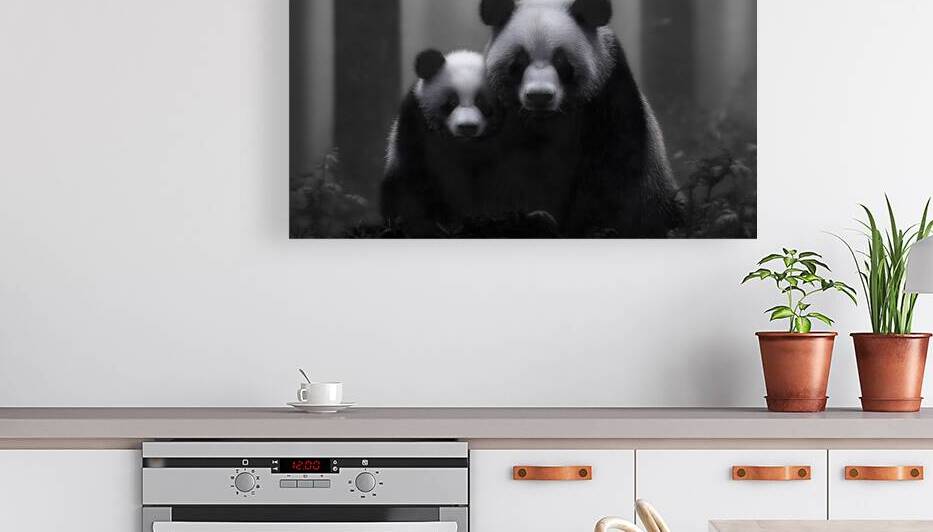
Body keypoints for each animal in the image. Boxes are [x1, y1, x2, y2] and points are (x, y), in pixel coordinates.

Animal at [381, 49, 503, 237]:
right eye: (451, 103)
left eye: (482, 103)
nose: (467, 127)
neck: (463, 144)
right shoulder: (417, 124)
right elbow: (421, 173)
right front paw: (448, 221)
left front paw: (486, 215)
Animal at [479, 0, 685, 237]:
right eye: (518, 62)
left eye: (561, 62)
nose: (540, 95)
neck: (546, 119)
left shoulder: (608, 93)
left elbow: (614, 167)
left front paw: (592, 227)